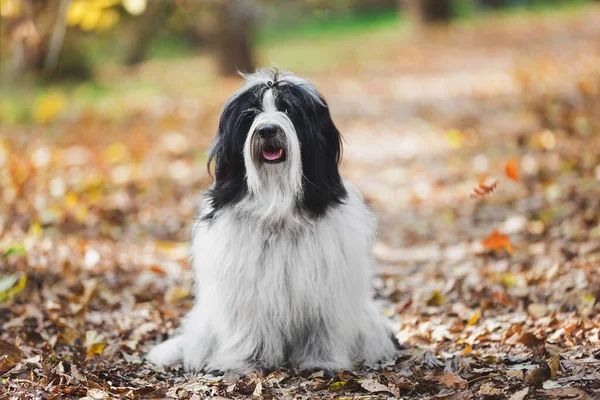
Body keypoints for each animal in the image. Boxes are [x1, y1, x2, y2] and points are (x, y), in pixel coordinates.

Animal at [146, 67, 398, 376]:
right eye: (251, 114)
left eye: (288, 109)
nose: (267, 130)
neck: (276, 207)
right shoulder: (246, 290)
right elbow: (250, 330)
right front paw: (245, 362)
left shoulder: (325, 291)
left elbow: (322, 330)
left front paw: (321, 362)